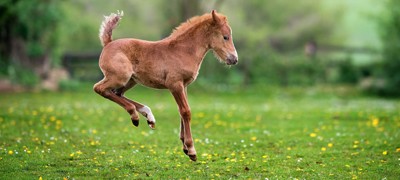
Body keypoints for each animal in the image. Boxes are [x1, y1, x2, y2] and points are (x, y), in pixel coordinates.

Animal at [94, 10, 238, 162]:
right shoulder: (175, 85)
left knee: (117, 93)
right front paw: (191, 150)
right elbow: (186, 111)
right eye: (225, 37)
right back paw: (135, 116)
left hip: (131, 80)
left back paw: (147, 116)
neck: (183, 51)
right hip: (120, 77)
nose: (234, 59)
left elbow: (183, 111)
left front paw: (185, 147)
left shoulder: (184, 86)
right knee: (99, 88)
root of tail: (108, 43)